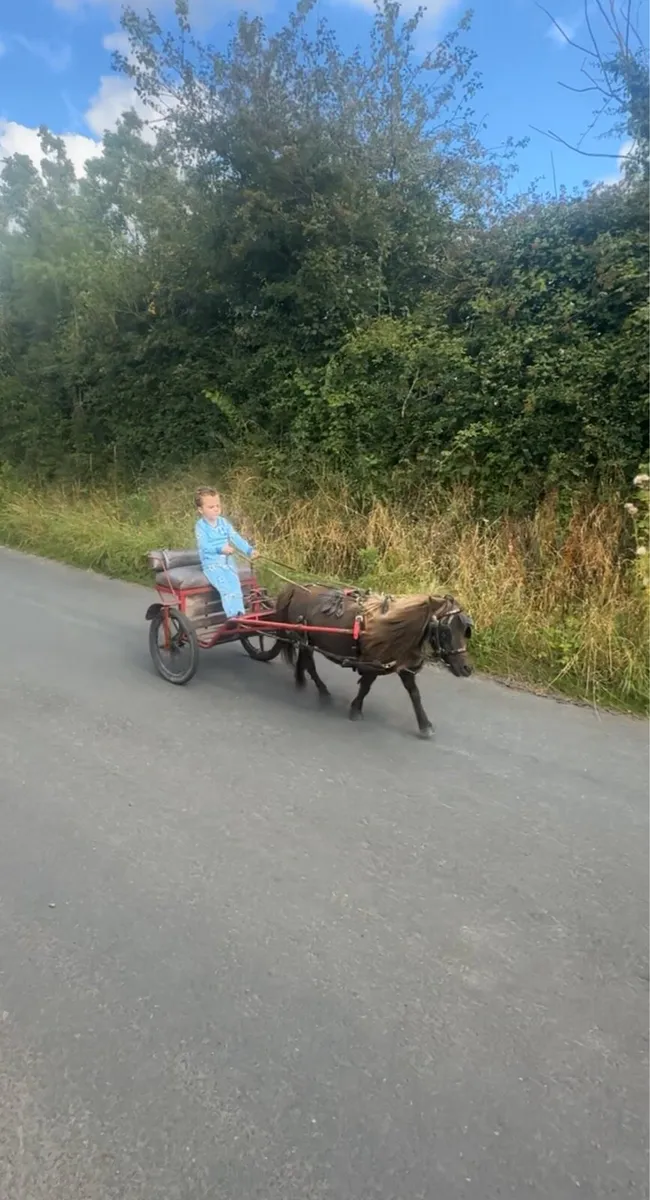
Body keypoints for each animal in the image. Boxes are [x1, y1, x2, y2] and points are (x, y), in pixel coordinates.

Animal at [273, 583, 473, 738]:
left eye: (465, 630)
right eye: (446, 631)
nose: (467, 668)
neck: (395, 627)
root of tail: (297, 588)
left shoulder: (403, 665)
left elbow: (414, 694)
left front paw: (425, 725)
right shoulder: (372, 664)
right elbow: (366, 686)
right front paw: (356, 709)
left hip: (306, 638)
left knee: (304, 658)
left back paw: (301, 680)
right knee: (310, 664)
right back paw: (323, 692)